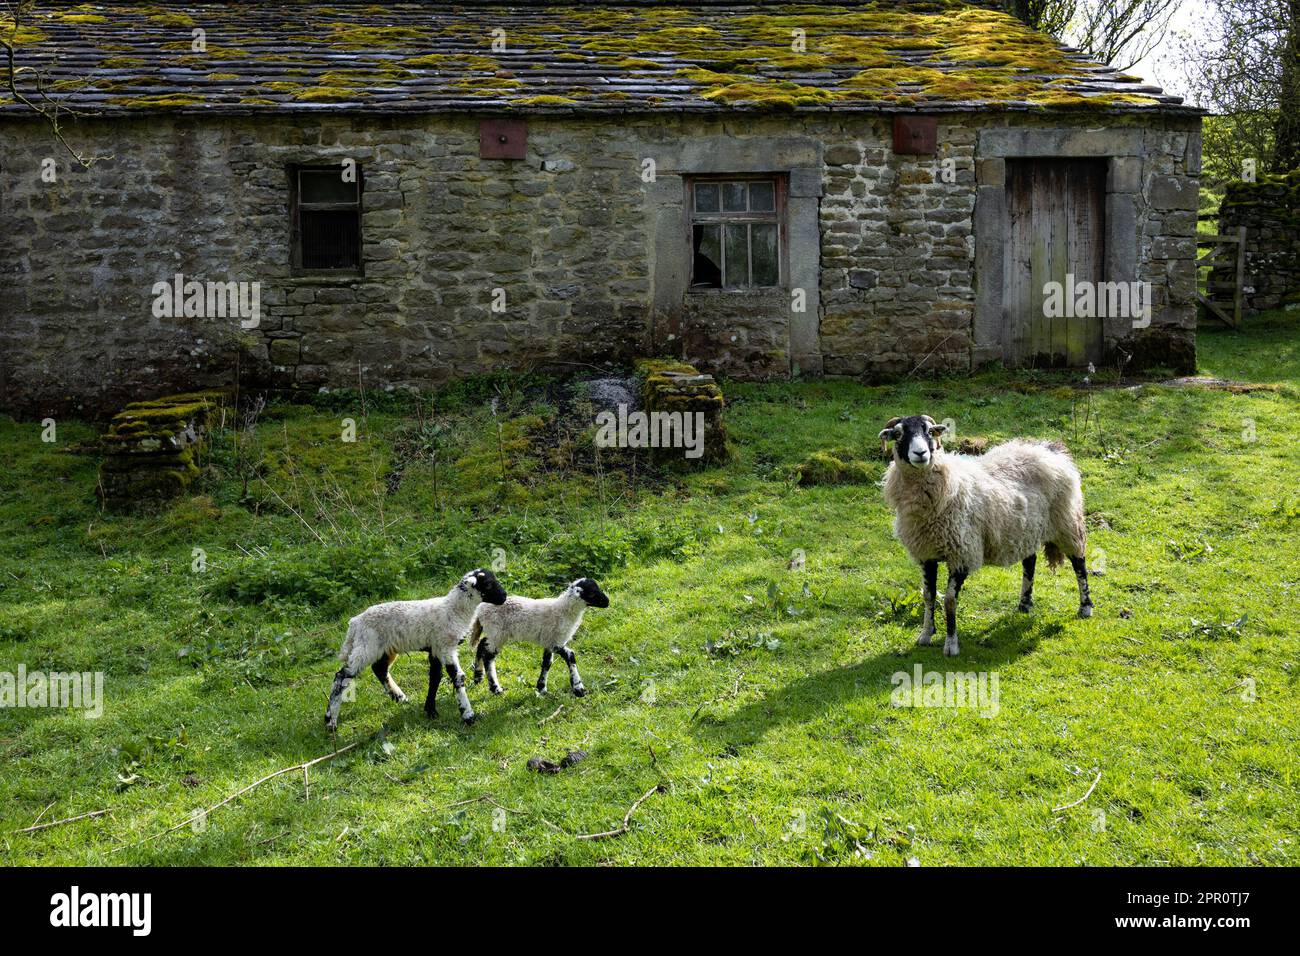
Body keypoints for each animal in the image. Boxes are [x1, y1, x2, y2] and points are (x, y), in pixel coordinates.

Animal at [324, 568, 507, 731]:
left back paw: (400, 697)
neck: (454, 609)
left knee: (379, 669)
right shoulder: (445, 646)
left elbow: (435, 677)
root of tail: (355, 623)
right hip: (366, 647)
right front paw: (468, 715)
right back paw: (330, 721)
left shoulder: (436, 648)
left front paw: (430, 710)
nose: (504, 596)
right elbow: (457, 677)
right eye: (488, 585)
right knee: (342, 676)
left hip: (385, 648)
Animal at [468, 578, 609, 697]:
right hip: (497, 632)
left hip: (494, 633)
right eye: (591, 594)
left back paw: (478, 677)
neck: (564, 610)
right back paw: (495, 688)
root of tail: (480, 609)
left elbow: (547, 663)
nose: (607, 602)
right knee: (488, 656)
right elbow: (570, 656)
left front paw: (541, 688)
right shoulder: (554, 641)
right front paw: (578, 688)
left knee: (481, 645)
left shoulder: (549, 641)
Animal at [879, 414, 1092, 657]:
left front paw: (951, 644)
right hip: (1027, 528)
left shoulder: (962, 553)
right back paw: (1024, 604)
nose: (921, 453)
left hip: (1067, 523)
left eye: (929, 432)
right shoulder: (926, 554)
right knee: (1030, 561)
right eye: (898, 434)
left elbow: (949, 600)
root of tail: (1050, 447)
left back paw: (1085, 607)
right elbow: (928, 595)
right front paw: (925, 634)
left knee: (1079, 563)